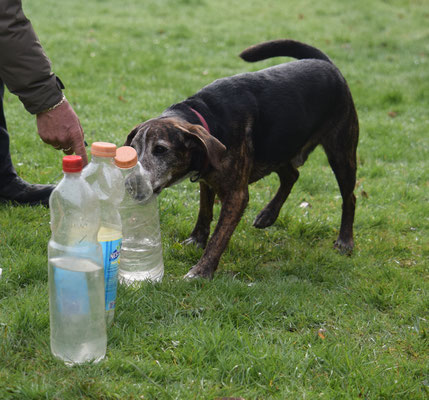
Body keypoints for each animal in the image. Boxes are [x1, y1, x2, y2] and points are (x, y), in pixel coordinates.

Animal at [124, 39, 358, 278]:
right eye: (133, 150)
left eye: (160, 149)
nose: (131, 184)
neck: (208, 116)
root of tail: (325, 63)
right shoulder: (207, 179)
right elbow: (204, 212)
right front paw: (197, 239)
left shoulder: (236, 195)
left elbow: (220, 235)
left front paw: (201, 271)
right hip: (277, 150)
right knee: (291, 175)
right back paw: (268, 214)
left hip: (341, 153)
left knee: (349, 198)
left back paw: (344, 240)